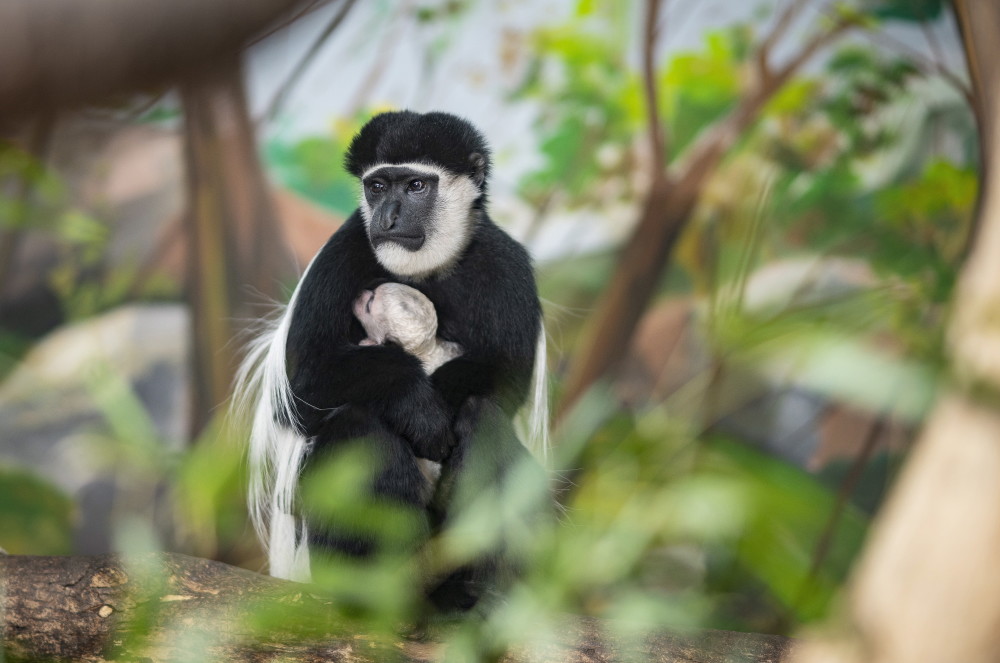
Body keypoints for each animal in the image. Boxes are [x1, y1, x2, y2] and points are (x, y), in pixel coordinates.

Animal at [236, 110, 548, 612]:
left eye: (416, 186)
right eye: (377, 187)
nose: (387, 216)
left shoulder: (507, 265)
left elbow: (510, 379)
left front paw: (446, 392)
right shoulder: (340, 254)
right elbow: (300, 391)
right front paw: (421, 408)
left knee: (484, 416)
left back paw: (471, 591)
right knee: (353, 427)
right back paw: (378, 592)